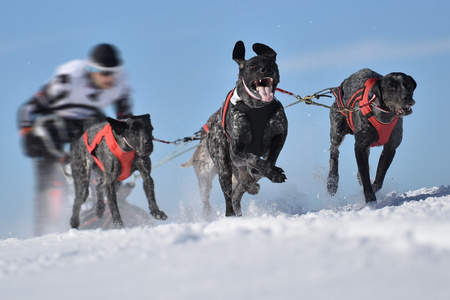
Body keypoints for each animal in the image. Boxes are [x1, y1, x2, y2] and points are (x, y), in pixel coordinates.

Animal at [183, 41, 288, 217]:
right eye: (252, 66)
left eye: (271, 63)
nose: (266, 70)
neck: (257, 107)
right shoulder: (236, 151)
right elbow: (253, 158)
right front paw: (273, 173)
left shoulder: (281, 134)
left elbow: (270, 158)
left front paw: (268, 170)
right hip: (223, 167)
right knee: (229, 198)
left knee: (237, 194)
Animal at [326, 69, 416, 203]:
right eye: (391, 87)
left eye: (408, 85)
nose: (407, 97)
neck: (383, 116)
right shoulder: (360, 147)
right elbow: (365, 177)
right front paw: (370, 199)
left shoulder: (389, 149)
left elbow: (379, 179)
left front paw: (373, 189)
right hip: (337, 130)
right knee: (334, 150)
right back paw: (332, 182)